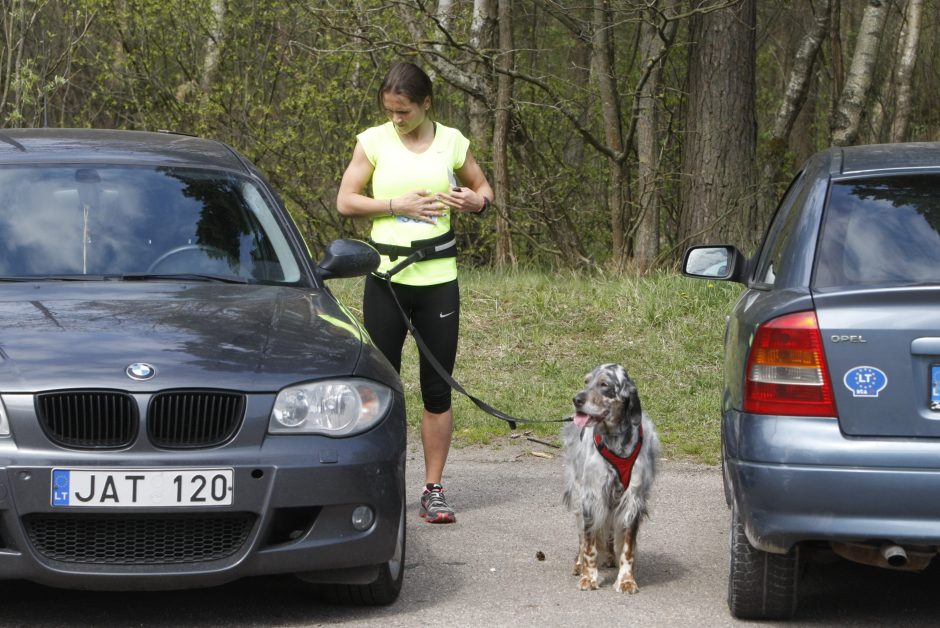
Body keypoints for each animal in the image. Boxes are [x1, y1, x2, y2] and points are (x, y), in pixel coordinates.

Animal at [560, 364, 656, 592]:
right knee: (582, 536)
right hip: (578, 493)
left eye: (604, 384)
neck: (616, 441)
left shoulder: (632, 500)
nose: (576, 399)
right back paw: (579, 564)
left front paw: (627, 580)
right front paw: (589, 577)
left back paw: (611, 557)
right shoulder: (591, 497)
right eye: (586, 381)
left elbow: (628, 548)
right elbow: (589, 545)